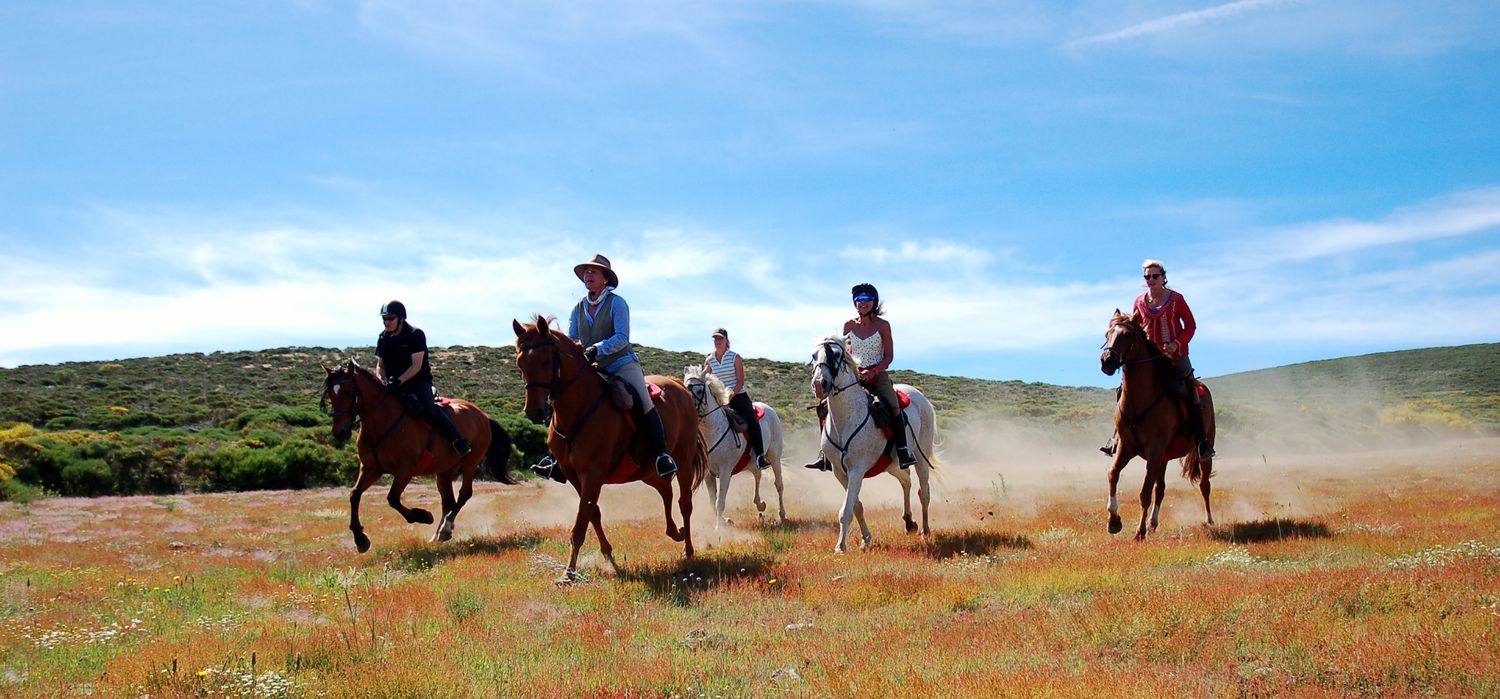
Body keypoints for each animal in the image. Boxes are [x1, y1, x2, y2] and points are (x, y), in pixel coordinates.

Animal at [318, 360, 516, 552]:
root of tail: (482, 415)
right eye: (331, 395)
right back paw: (439, 534)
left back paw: (445, 528)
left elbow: (392, 498)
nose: (340, 432)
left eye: (351, 392)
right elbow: (355, 494)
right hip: (445, 470)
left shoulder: (406, 469)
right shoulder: (370, 469)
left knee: (464, 494)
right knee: (448, 501)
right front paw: (360, 539)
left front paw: (422, 516)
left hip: (470, 462)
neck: (382, 423)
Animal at [510, 318, 708, 585]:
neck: (578, 409)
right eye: (520, 362)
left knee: (684, 502)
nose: (534, 411)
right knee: (666, 492)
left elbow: (581, 523)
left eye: (545, 361)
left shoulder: (592, 475)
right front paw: (608, 557)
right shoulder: (574, 476)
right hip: (647, 471)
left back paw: (687, 549)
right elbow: (592, 514)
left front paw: (568, 574)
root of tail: (677, 385)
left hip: (683, 461)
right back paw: (674, 532)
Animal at [687, 363, 792, 528]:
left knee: (779, 485)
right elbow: (712, 501)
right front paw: (725, 522)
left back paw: (782, 515)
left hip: (774, 457)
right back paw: (760, 504)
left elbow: (720, 502)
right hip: (751, 461)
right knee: (757, 474)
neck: (713, 430)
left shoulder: (725, 471)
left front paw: (718, 529)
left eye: (698, 390)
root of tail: (768, 408)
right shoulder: (708, 474)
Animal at [810, 336, 936, 555]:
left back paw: (925, 530)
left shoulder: (857, 470)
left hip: (921, 457)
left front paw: (840, 547)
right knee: (906, 481)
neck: (846, 419)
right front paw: (865, 539)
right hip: (892, 464)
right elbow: (856, 506)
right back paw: (909, 522)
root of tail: (921, 397)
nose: (819, 384)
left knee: (924, 492)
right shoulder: (840, 472)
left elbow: (846, 509)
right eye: (814, 355)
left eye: (836, 354)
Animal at [1104, 310, 1218, 540]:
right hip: (1163, 459)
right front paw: (1114, 521)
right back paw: (1153, 523)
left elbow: (1144, 493)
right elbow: (1113, 474)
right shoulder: (1126, 447)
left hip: (1203, 451)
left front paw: (1139, 533)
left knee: (1204, 485)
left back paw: (1209, 521)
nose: (1106, 362)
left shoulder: (1154, 452)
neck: (1139, 401)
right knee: (1161, 489)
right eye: (1107, 334)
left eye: (1127, 335)